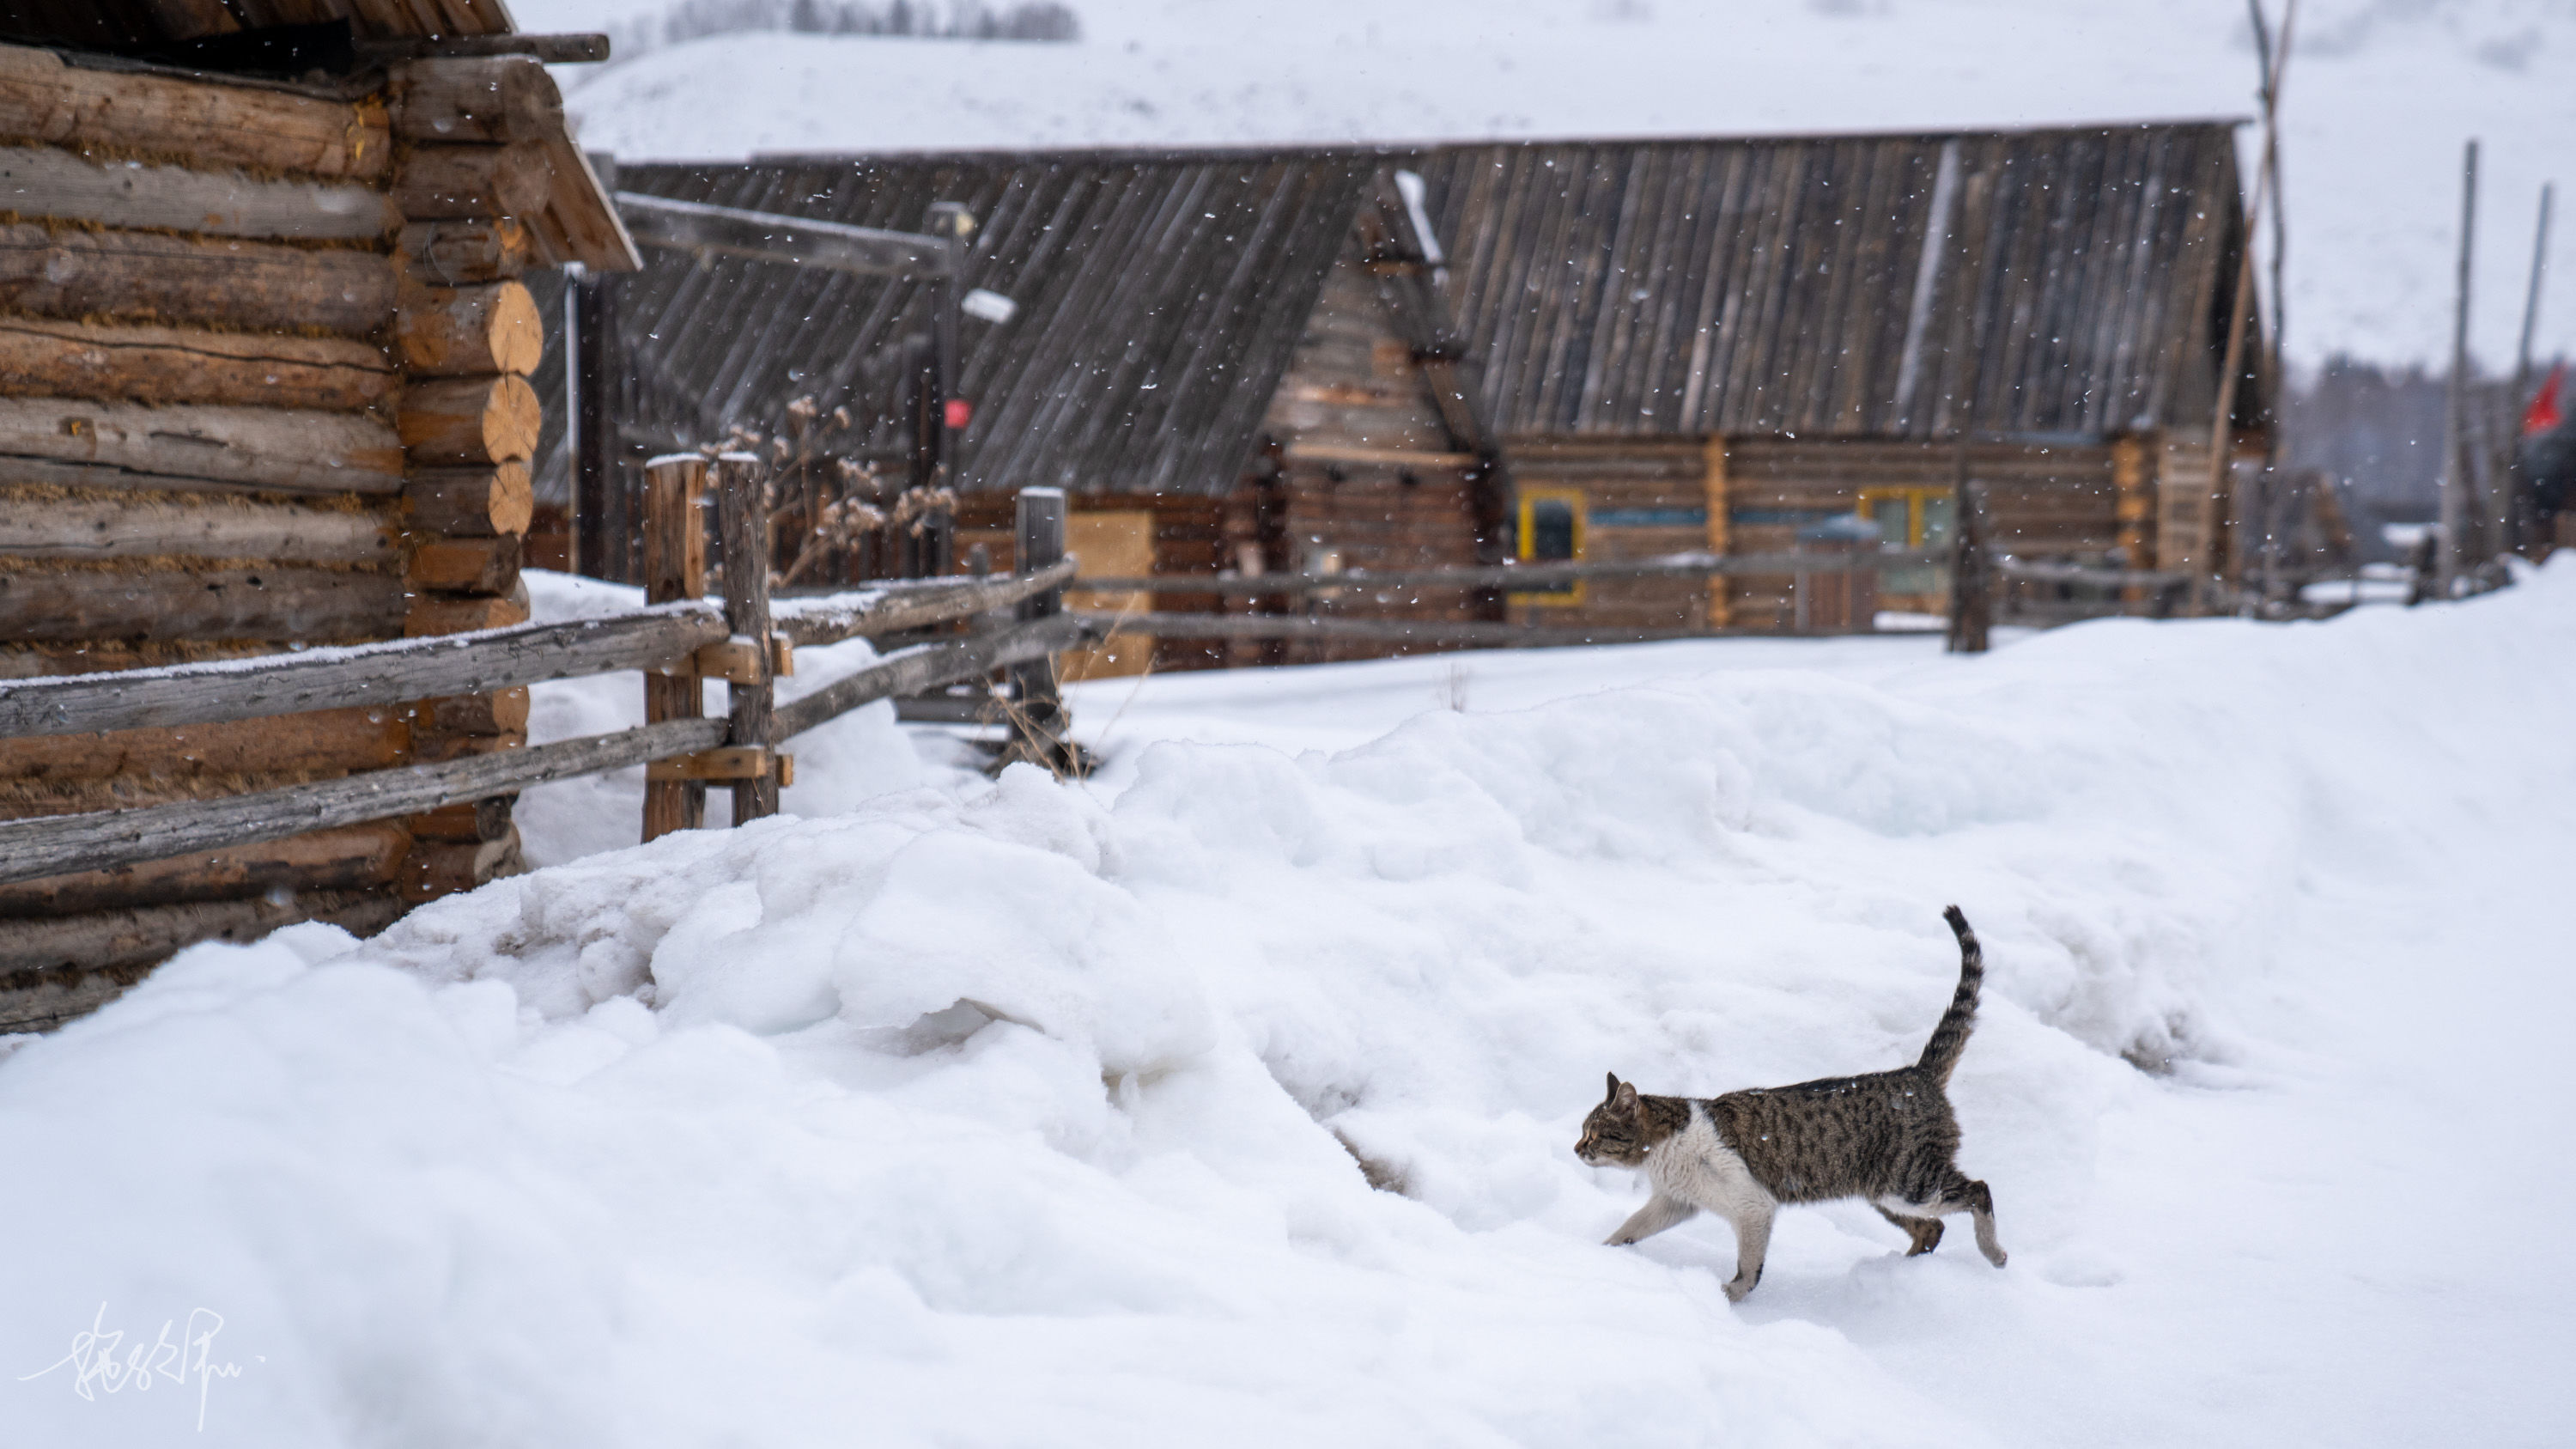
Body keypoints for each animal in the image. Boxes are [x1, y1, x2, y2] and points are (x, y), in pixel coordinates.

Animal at [1566, 902, 2009, 1299]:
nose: (1576, 1148)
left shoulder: (1753, 1204)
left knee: (1979, 1191)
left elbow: (1749, 1266)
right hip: (1885, 1192)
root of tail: (1917, 1072)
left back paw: (1994, 1254)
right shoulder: (1675, 1201)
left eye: (1595, 1133)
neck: (1663, 1152)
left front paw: (1731, 1295)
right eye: (1583, 1131)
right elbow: (1630, 1228)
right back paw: (1900, 1272)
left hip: (1911, 1181)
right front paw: (1602, 1255)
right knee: (1933, 1228)